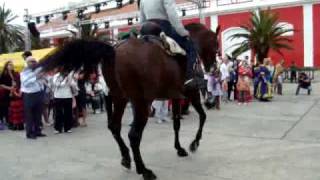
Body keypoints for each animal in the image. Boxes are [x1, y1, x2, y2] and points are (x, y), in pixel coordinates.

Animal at [38, 22, 220, 180]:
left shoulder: (175, 96)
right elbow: (202, 116)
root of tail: (113, 50)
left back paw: (126, 158)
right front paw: (194, 143)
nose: (213, 68)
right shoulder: (192, 92)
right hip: (141, 103)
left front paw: (180, 148)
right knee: (134, 135)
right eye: (216, 45)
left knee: (114, 127)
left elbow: (176, 123)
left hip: (120, 98)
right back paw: (144, 170)